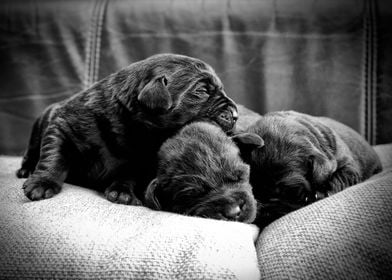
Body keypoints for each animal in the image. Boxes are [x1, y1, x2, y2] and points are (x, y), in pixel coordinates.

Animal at [16, 53, 237, 205]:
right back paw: (26, 170)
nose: (235, 115)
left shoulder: (139, 160)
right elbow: (54, 156)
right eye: (202, 91)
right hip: (39, 125)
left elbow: (129, 174)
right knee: (32, 151)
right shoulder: (62, 124)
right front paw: (42, 183)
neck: (131, 127)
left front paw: (123, 192)